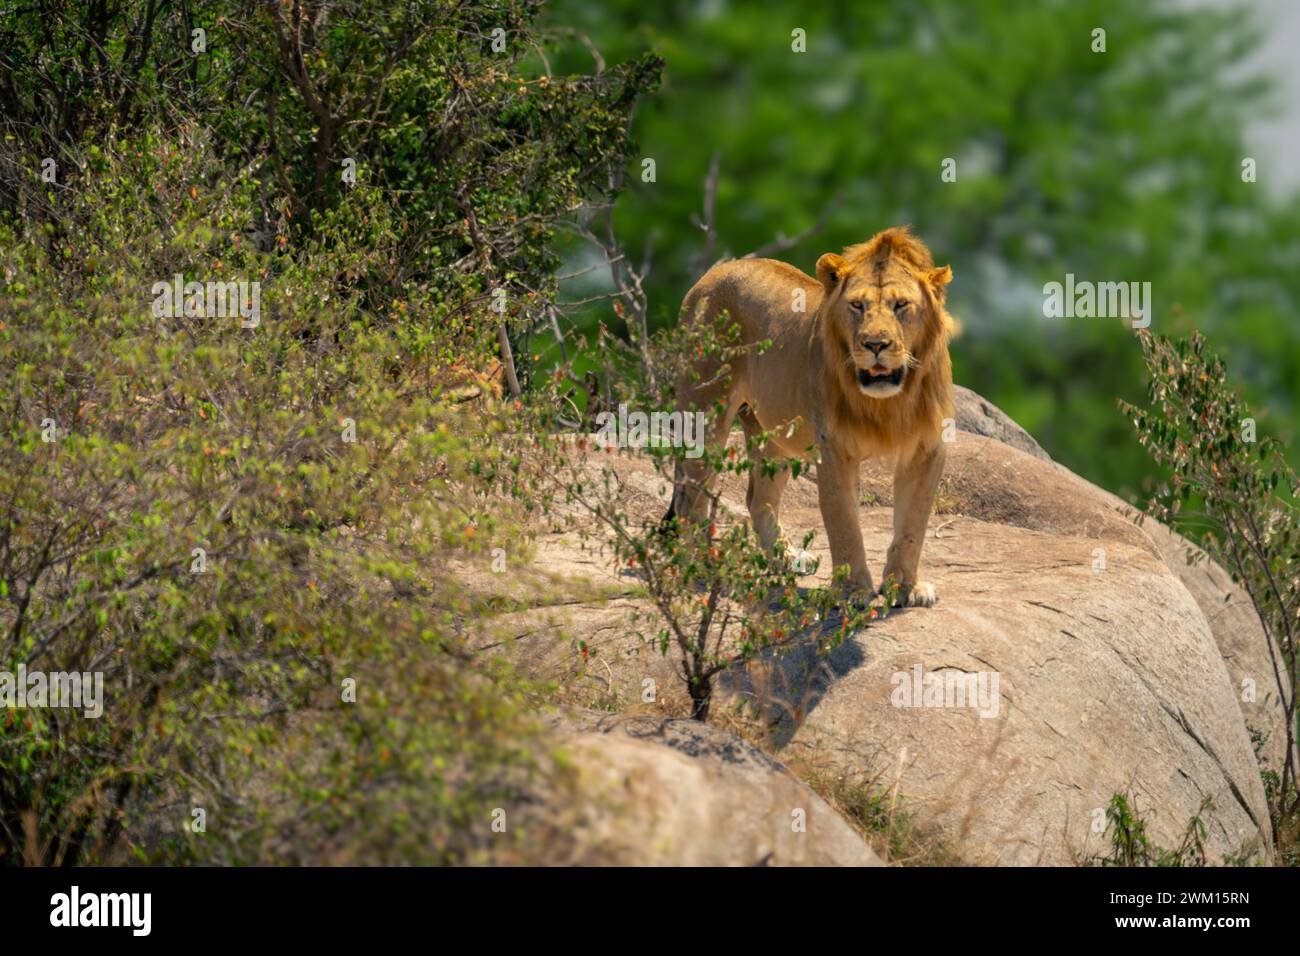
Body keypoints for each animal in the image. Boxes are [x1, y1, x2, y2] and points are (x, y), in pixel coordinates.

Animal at [661, 225, 956, 607]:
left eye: (901, 305)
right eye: (857, 305)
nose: (876, 344)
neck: (889, 401)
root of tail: (715, 272)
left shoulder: (927, 446)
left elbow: (913, 524)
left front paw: (906, 588)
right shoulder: (833, 447)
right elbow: (843, 520)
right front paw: (852, 591)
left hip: (773, 435)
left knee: (757, 499)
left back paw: (788, 559)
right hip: (706, 416)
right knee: (690, 499)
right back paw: (701, 567)